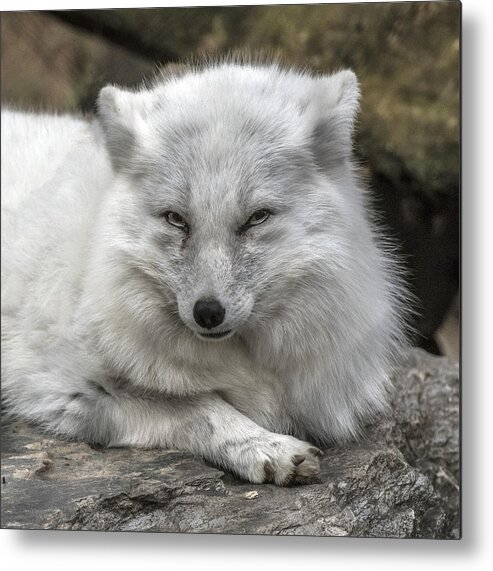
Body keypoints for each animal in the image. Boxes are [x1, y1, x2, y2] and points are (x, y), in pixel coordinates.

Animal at [1, 63, 406, 488]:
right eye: (176, 219)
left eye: (256, 218)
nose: (208, 313)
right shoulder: (63, 384)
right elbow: (200, 404)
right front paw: (267, 448)